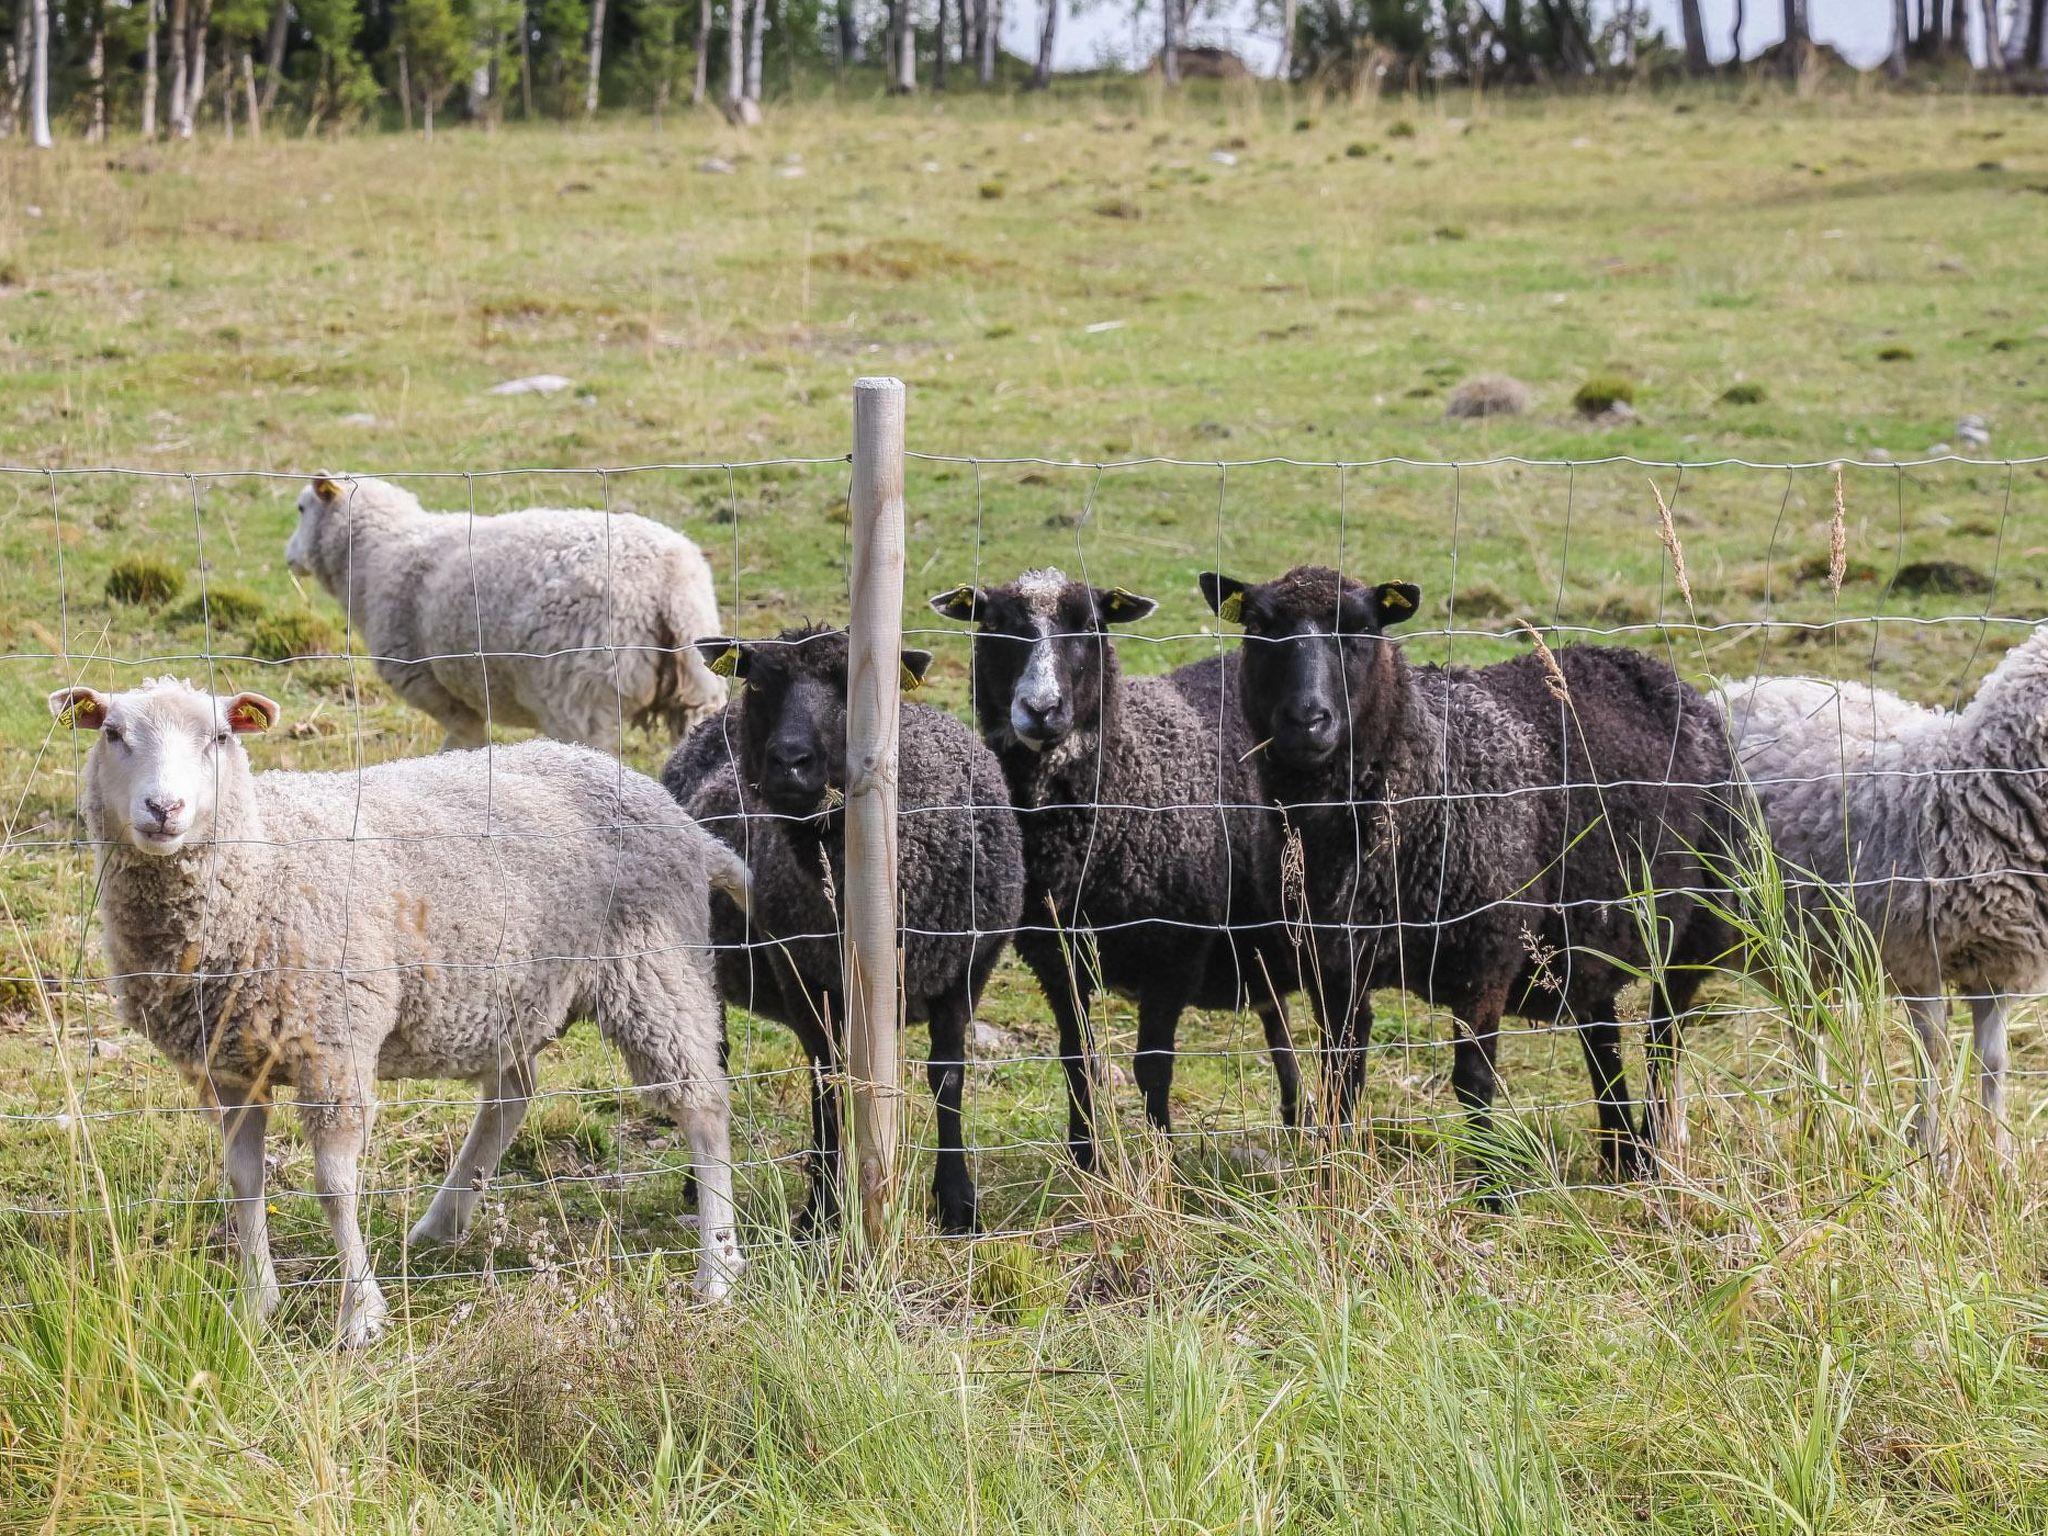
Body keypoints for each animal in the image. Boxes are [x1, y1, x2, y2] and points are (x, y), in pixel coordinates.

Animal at [51, 679, 749, 1351]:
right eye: (112, 734)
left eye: (219, 737)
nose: (164, 809)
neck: (261, 865)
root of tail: (679, 818)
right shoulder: (228, 1066)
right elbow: (243, 1180)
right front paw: (256, 1303)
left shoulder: (333, 1046)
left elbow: (335, 1186)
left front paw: (360, 1314)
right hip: (517, 992)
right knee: (512, 1096)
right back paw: (443, 1221)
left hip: (655, 971)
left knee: (703, 1105)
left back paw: (717, 1269)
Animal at [284, 473, 733, 753]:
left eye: (302, 509)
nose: (288, 557)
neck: (379, 553)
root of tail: (668, 578)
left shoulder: (431, 684)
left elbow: (463, 741)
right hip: (696, 687)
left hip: (580, 692)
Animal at [925, 573, 1302, 1171]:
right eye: (996, 624)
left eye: (1090, 624)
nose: (1042, 709)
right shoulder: (1055, 955)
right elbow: (1076, 1056)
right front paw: (1086, 1160)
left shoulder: (1175, 950)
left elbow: (1153, 1065)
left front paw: (1163, 1162)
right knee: (1277, 1015)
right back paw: (1297, 1116)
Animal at [1196, 565, 1744, 1179]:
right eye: (1260, 626)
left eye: (1362, 628)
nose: (1308, 722)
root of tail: (1641, 663)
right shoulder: (1330, 961)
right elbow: (1342, 1076)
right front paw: (1335, 1177)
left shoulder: (1486, 954)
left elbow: (1474, 1085)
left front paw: (1488, 1188)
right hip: (1587, 926)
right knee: (1601, 1033)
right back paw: (1621, 1153)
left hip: (1700, 920)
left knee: (1664, 1038)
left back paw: (1647, 1150)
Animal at [1712, 630, 2048, 1163]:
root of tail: (1732, 687)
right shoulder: (1917, 957)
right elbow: (1933, 1055)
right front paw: (1928, 1156)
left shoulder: (1996, 965)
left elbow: (1994, 1063)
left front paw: (1999, 1158)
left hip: (1800, 938)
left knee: (1807, 1028)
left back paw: (1818, 1131)